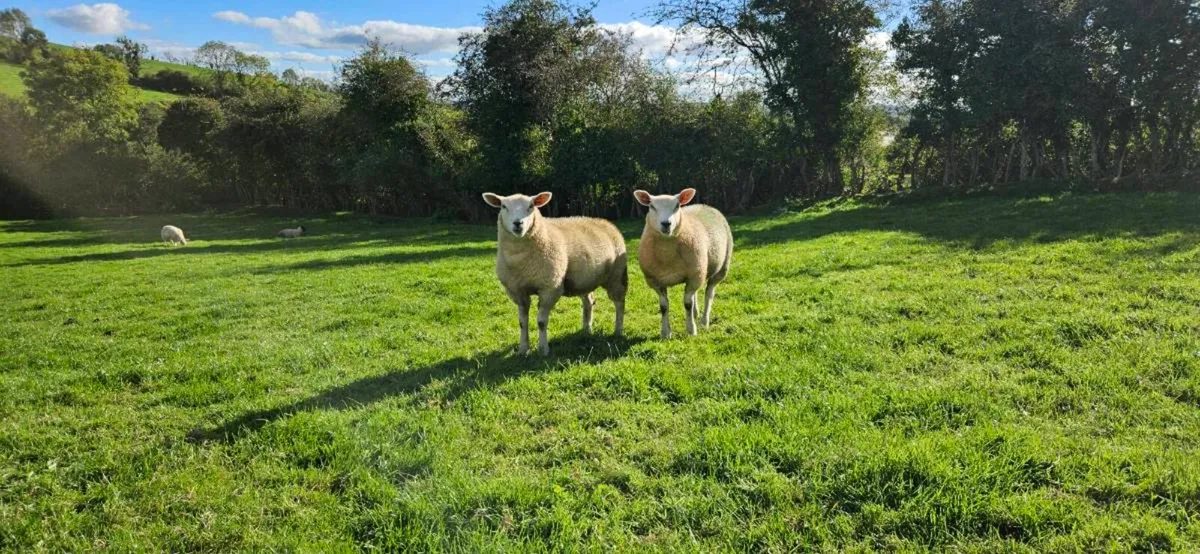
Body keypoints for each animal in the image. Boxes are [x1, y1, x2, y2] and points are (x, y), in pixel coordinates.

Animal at [483, 191, 628, 355]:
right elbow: (522, 323)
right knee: (589, 301)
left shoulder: (550, 288)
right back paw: (587, 329)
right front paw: (523, 349)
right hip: (584, 279)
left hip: (617, 275)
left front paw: (543, 350)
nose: (518, 223)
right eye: (503, 206)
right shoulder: (517, 291)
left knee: (619, 303)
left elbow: (541, 322)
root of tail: (604, 221)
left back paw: (618, 331)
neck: (521, 261)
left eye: (531, 206)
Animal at [633, 188, 733, 339]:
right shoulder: (655, 280)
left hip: (719, 268)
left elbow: (687, 304)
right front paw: (665, 333)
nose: (666, 224)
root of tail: (704, 205)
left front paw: (691, 330)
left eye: (677, 206)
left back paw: (704, 321)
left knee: (709, 294)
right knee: (697, 293)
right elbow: (664, 307)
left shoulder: (694, 275)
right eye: (652, 206)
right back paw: (696, 314)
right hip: (698, 270)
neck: (667, 254)